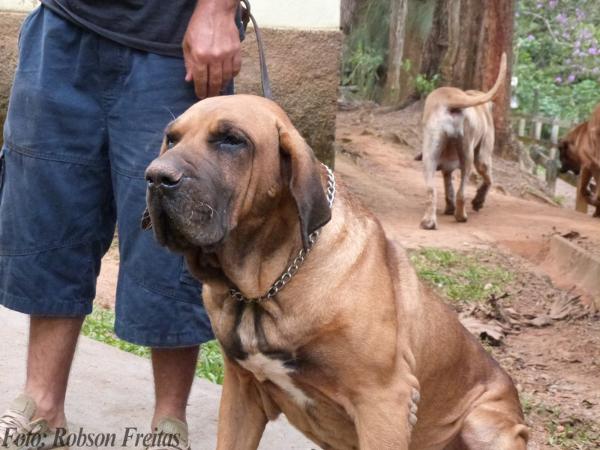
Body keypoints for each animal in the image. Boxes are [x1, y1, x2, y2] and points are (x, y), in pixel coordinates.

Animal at [143, 93, 528, 448]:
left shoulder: (384, 401)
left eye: (231, 139)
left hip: (484, 425)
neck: (265, 287)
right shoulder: (242, 390)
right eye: (172, 138)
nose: (157, 177)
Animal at [422, 53, 506, 229]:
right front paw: (479, 201)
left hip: (430, 154)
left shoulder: (446, 166)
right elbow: (489, 180)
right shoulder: (483, 157)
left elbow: (448, 185)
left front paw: (449, 206)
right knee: (462, 192)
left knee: (431, 189)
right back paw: (461, 216)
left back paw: (429, 222)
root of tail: (451, 100)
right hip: (469, 154)